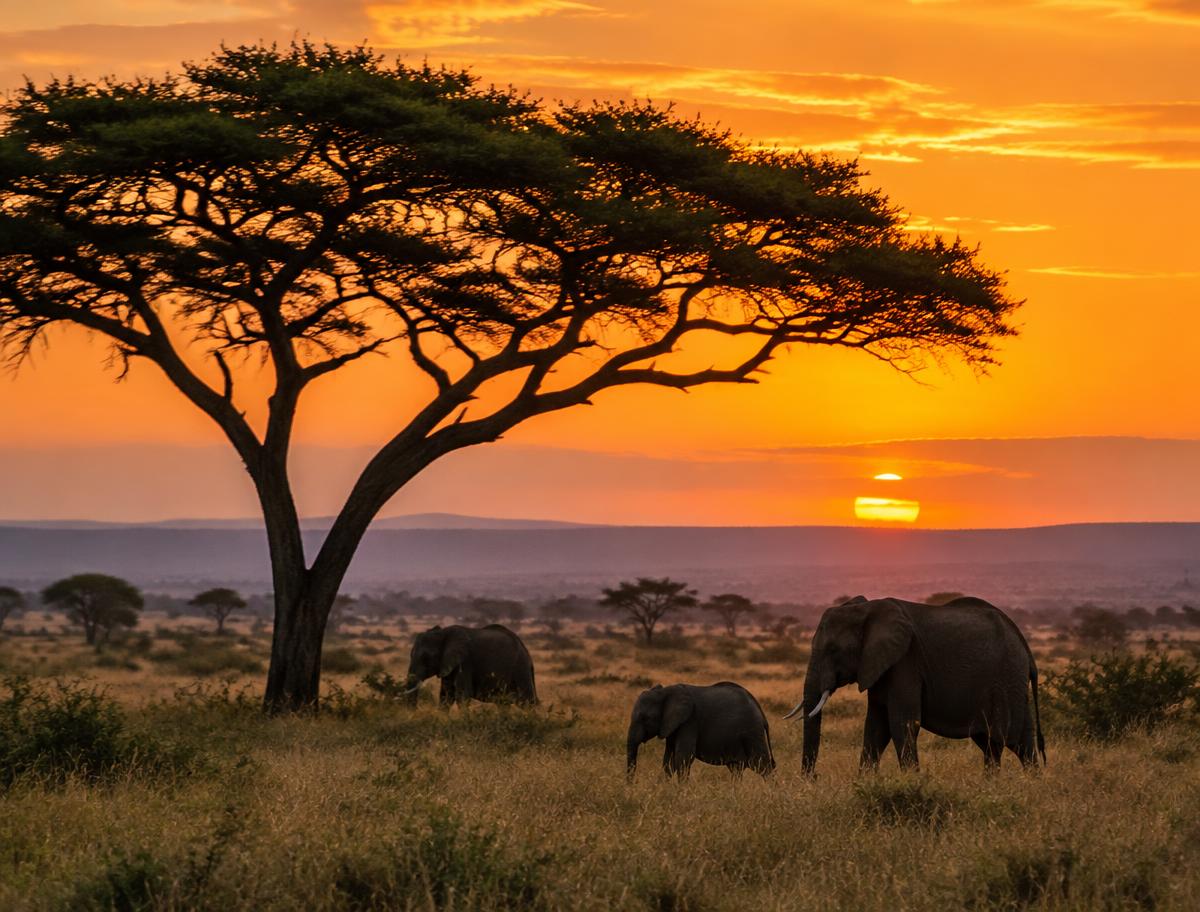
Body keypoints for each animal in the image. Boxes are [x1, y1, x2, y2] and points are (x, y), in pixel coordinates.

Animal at [403, 624, 537, 707]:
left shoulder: (465, 662)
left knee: (527, 702)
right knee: (503, 704)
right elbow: (446, 696)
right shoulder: (447, 665)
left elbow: (462, 697)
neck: (444, 633)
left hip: (520, 669)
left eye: (426, 658)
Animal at [626, 682, 775, 780]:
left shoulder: (690, 721)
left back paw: (770, 795)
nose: (631, 785)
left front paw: (680, 793)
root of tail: (761, 712)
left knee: (763, 766)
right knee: (736, 768)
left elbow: (683, 757)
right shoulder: (672, 725)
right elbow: (668, 759)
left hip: (752, 732)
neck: (666, 692)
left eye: (645, 718)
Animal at [784, 595, 1045, 774]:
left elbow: (902, 723)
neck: (867, 610)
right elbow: (875, 727)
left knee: (1006, 740)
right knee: (1005, 743)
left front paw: (911, 781)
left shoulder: (905, 662)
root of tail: (1024, 644)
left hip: (1007, 679)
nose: (812, 777)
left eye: (833, 650)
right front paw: (865, 782)